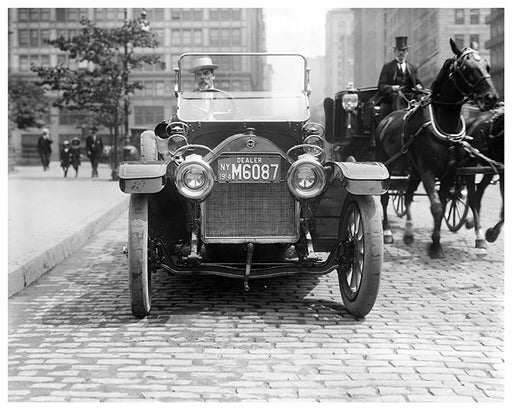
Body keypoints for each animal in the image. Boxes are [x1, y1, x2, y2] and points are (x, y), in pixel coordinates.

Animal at [374, 40, 498, 260]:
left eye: (486, 65)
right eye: (466, 67)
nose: (491, 98)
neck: (445, 124)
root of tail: (386, 119)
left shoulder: (449, 172)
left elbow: (442, 202)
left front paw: (437, 242)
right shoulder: (427, 170)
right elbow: (437, 207)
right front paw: (434, 247)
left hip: (413, 170)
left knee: (408, 194)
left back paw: (408, 233)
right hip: (388, 167)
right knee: (386, 197)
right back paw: (388, 232)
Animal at [462, 105, 502, 253]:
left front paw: (492, 233)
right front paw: (491, 233)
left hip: (488, 168)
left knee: (478, 191)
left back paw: (471, 223)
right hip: (470, 165)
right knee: (473, 198)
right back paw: (479, 236)